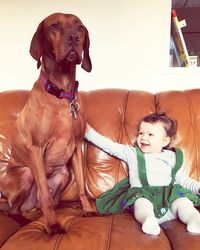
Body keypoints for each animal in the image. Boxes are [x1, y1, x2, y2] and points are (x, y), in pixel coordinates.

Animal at [0, 12, 94, 235]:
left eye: (79, 27)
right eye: (55, 26)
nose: (73, 38)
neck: (62, 93)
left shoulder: (76, 147)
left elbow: (82, 186)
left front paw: (87, 209)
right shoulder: (35, 148)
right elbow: (44, 192)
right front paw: (53, 225)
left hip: (63, 173)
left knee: (50, 199)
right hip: (25, 174)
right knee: (13, 209)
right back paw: (24, 219)